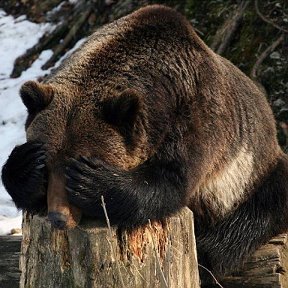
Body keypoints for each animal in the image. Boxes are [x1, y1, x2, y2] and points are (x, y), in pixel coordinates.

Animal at [2, 5, 288, 274]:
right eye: (48, 168)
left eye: (76, 163)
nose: (58, 217)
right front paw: (26, 163)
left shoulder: (195, 119)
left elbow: (170, 182)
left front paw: (93, 183)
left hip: (251, 175)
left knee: (248, 219)